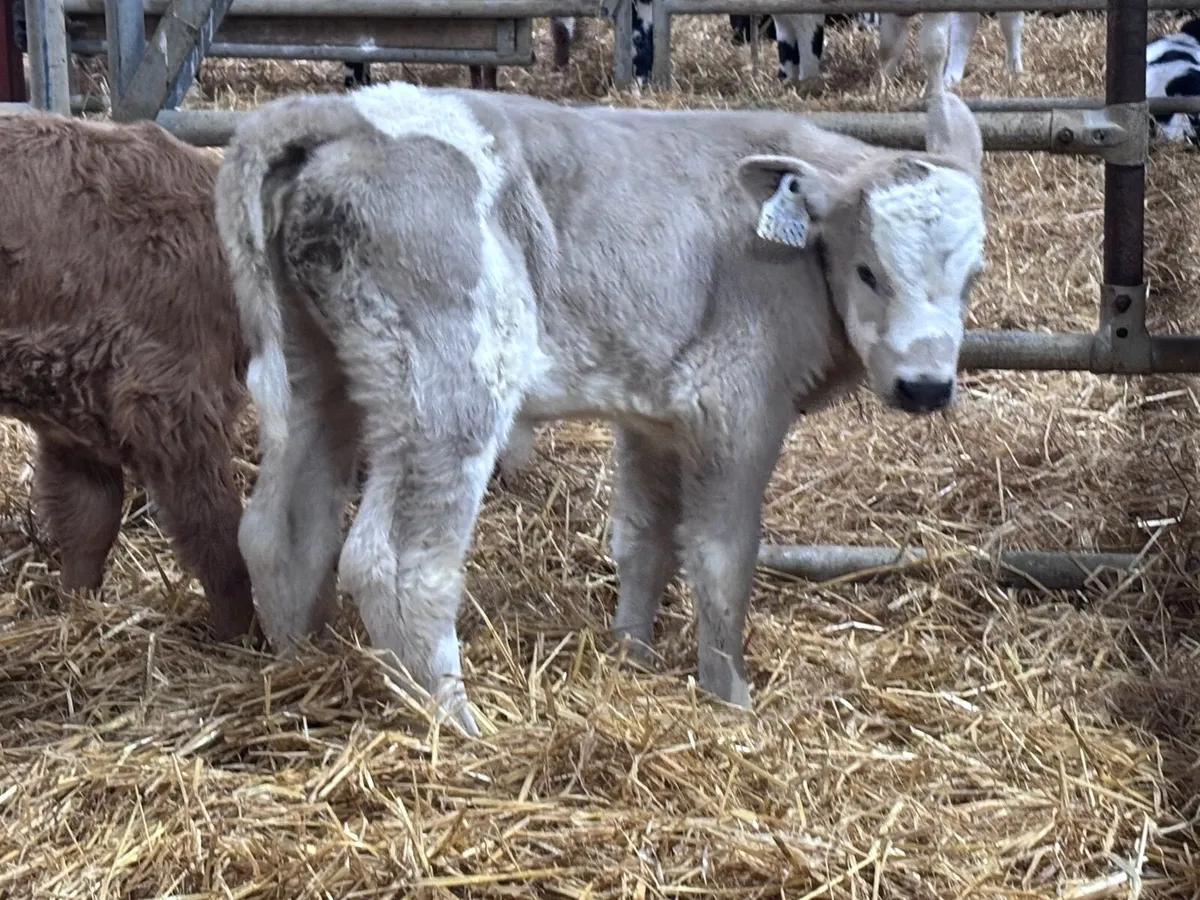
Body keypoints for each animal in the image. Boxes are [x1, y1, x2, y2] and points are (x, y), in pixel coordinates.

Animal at [214, 80, 987, 737]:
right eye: (868, 271)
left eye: (973, 276)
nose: (925, 385)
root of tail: (348, 112)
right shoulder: (736, 404)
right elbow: (723, 557)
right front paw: (730, 697)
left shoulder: (655, 418)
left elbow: (645, 541)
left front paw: (633, 657)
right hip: (450, 381)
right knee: (393, 559)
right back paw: (458, 725)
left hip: (317, 367)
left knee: (280, 529)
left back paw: (298, 664)